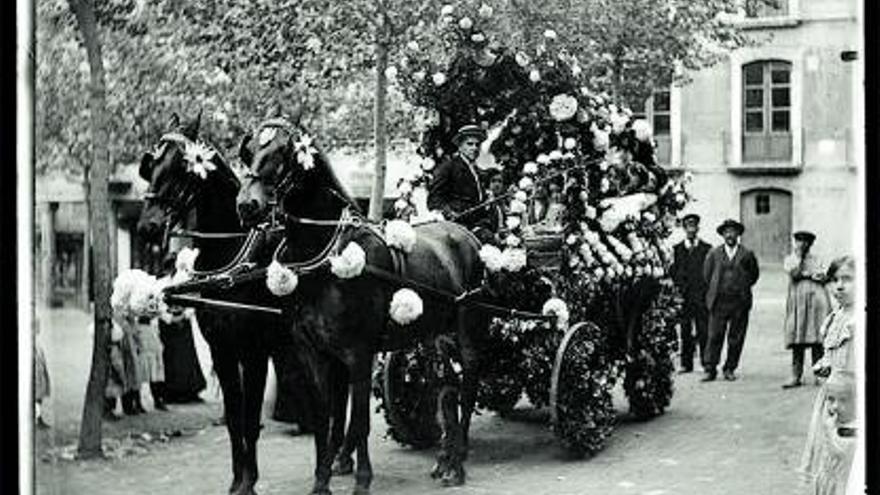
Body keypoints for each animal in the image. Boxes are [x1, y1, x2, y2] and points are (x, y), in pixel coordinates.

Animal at [140, 113, 324, 495]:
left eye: (181, 165)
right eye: (150, 164)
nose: (147, 226)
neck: (231, 255)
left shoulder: (253, 351)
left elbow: (250, 417)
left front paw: (249, 481)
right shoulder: (222, 349)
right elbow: (234, 420)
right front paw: (237, 479)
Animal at [237, 110, 488, 494]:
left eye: (283, 152)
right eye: (248, 151)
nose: (247, 205)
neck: (326, 255)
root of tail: (467, 235)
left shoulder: (357, 352)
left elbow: (358, 421)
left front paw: (361, 480)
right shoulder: (313, 353)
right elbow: (324, 419)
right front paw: (321, 480)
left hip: (467, 327)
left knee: (468, 384)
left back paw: (458, 462)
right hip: (434, 335)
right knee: (447, 386)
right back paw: (445, 460)